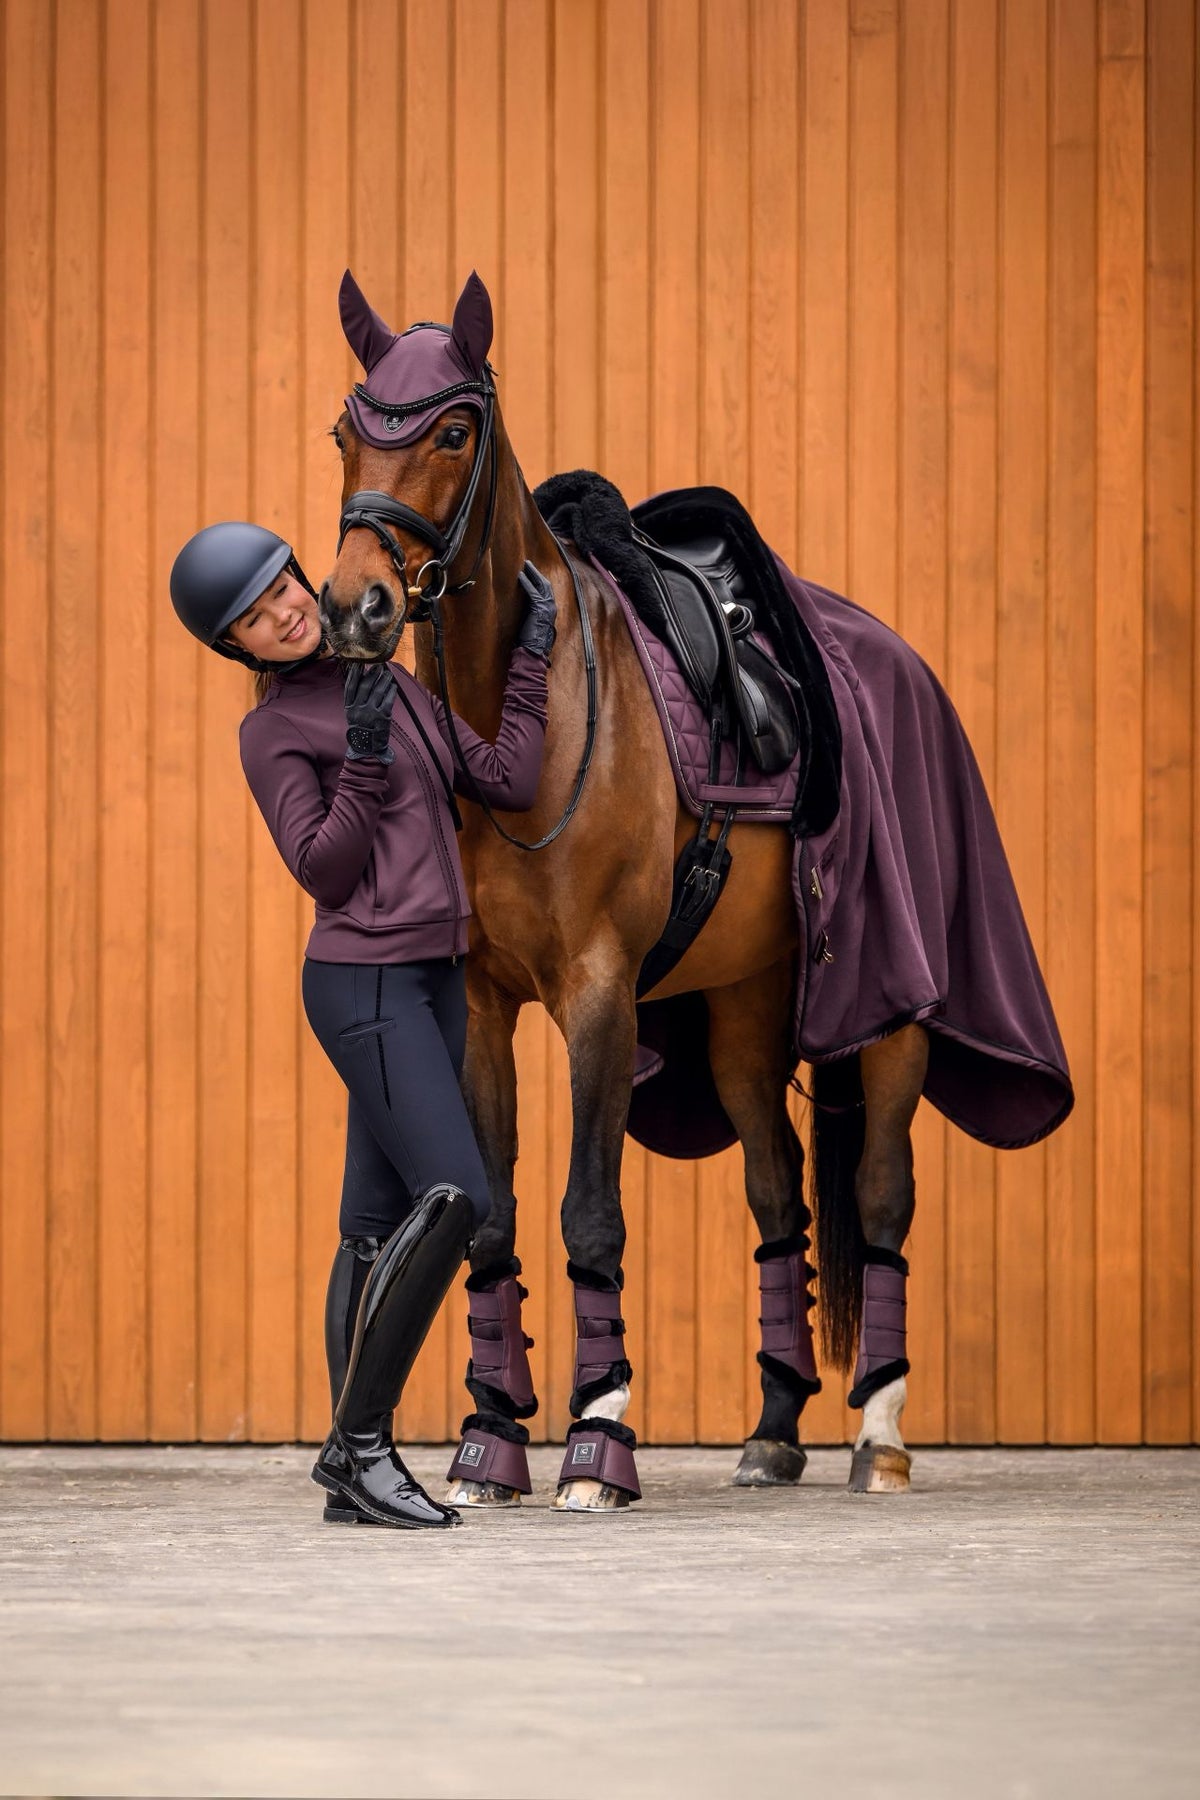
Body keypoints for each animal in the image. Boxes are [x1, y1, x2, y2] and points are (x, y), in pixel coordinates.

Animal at [317, 269, 1072, 1511]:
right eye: (346, 432)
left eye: (454, 430)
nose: (356, 608)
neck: (527, 721)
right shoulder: (482, 1003)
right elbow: (489, 1216)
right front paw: (490, 1443)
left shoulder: (598, 995)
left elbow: (589, 1210)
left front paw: (597, 1440)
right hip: (743, 1012)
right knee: (778, 1199)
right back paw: (771, 1432)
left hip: (895, 1017)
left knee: (880, 1196)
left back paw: (879, 1437)